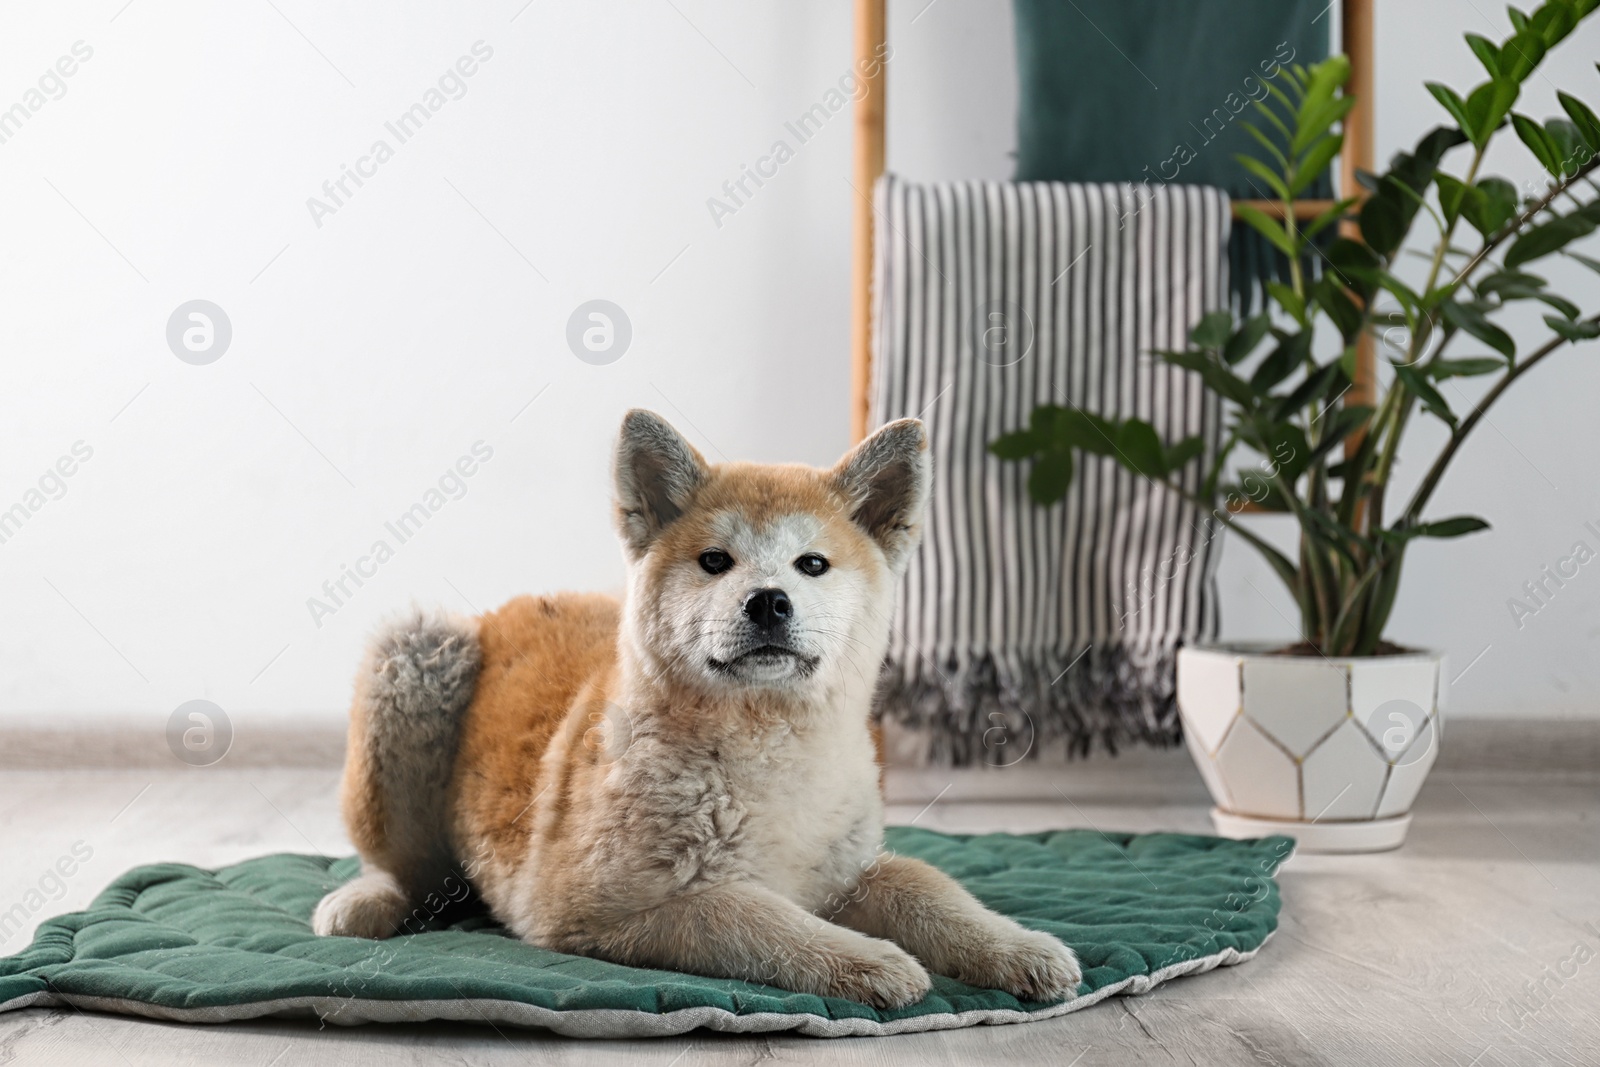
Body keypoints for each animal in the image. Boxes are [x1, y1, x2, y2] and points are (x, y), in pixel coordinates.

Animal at [313, 409, 1081, 1011]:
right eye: (716, 561)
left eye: (812, 564)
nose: (768, 601)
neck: (764, 747)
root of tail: (506, 607)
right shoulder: (595, 907)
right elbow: (747, 913)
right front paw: (868, 958)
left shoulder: (846, 869)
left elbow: (929, 887)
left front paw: (1018, 946)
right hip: (416, 650)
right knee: (409, 868)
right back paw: (366, 900)